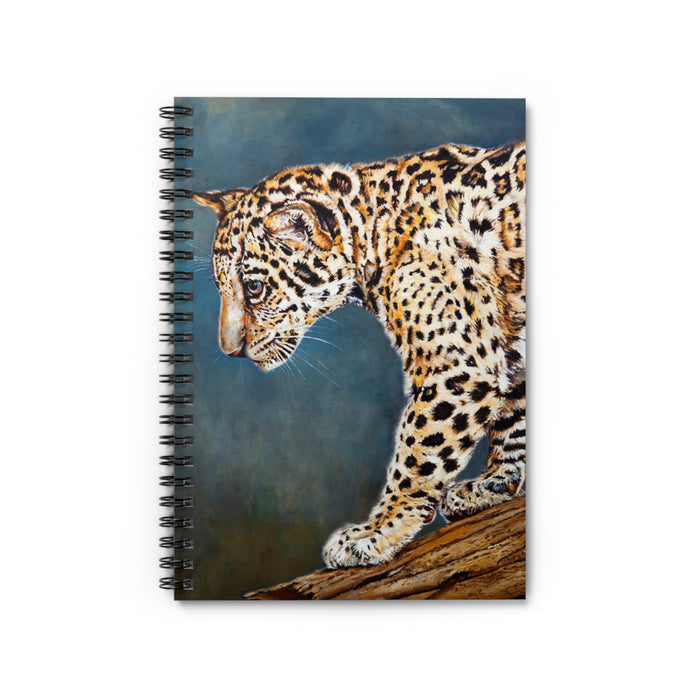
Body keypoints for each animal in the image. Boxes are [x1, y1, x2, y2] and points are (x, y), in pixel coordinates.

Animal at [194, 141, 526, 568]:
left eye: (254, 288)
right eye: (221, 287)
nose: (229, 349)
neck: (374, 230)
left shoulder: (457, 367)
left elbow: (417, 454)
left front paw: (376, 532)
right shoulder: (508, 343)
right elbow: (512, 418)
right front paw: (495, 484)